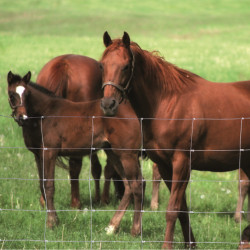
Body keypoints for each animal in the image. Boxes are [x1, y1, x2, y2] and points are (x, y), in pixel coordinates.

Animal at [7, 71, 145, 235]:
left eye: (27, 94)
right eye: (11, 94)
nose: (22, 117)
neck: (44, 114)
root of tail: (131, 111)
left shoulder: (49, 153)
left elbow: (49, 186)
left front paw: (52, 223)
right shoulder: (38, 156)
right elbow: (42, 185)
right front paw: (54, 219)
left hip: (127, 155)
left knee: (137, 184)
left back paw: (135, 230)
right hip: (113, 153)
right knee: (129, 185)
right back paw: (112, 226)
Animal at [99, 32, 250, 249]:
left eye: (126, 66)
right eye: (102, 65)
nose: (108, 104)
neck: (167, 103)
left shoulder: (181, 163)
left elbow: (172, 209)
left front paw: (167, 246)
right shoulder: (164, 165)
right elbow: (182, 209)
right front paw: (190, 244)